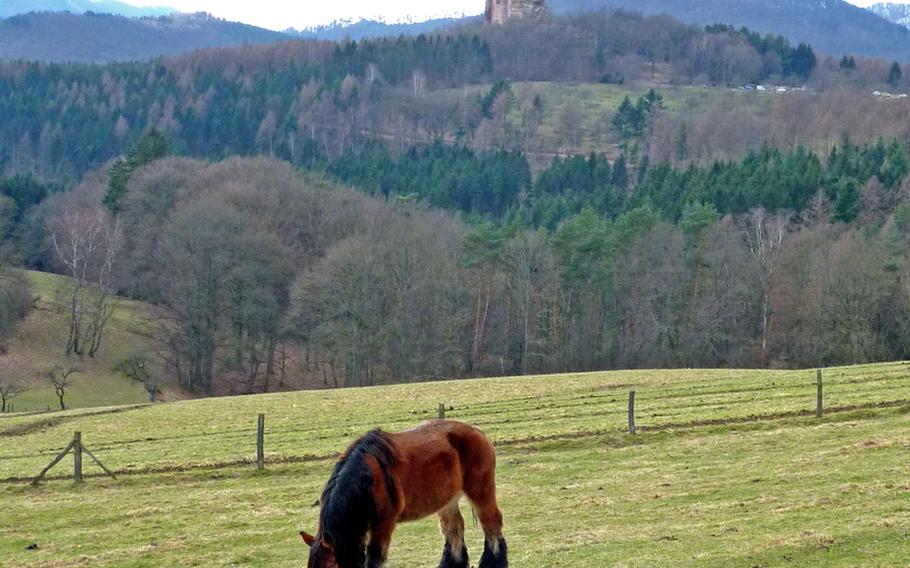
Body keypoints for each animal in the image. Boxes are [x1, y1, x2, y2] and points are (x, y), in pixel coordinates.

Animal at [302, 420, 510, 568]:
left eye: (330, 566)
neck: (368, 478)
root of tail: (478, 432)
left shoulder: (383, 524)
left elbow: (374, 559)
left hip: (480, 492)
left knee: (491, 524)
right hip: (448, 501)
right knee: (454, 529)